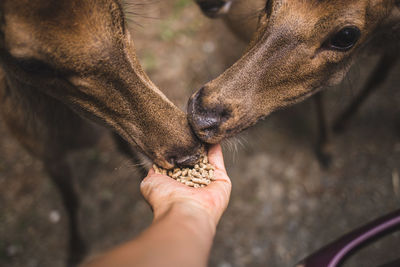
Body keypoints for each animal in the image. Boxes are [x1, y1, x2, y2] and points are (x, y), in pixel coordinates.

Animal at [0, 1, 203, 266]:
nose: (187, 151)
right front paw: (75, 250)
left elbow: (126, 151)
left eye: (120, 14)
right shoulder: (43, 152)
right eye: (30, 64)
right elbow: (70, 197)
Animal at [188, 0, 400, 154]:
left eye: (346, 35)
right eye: (269, 2)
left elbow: (377, 78)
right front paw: (327, 144)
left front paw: (336, 130)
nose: (201, 115)